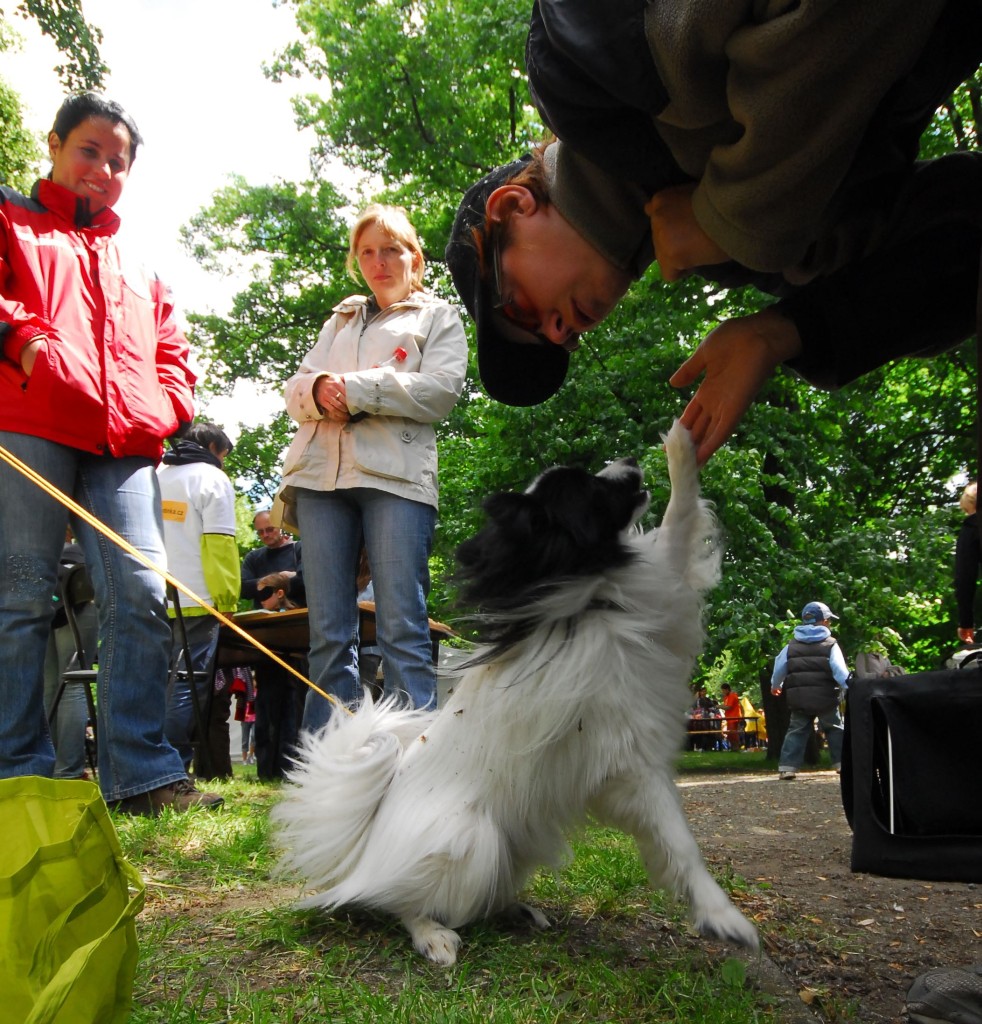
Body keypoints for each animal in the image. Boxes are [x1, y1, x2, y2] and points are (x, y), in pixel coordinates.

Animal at [274, 419, 761, 962]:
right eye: (588, 489)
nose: (631, 459)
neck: (585, 595)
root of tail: (366, 851)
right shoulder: (631, 766)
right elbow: (682, 845)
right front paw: (723, 917)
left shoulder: (664, 588)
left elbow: (679, 521)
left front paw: (683, 441)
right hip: (472, 840)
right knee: (398, 901)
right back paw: (431, 934)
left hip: (512, 845)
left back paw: (516, 910)